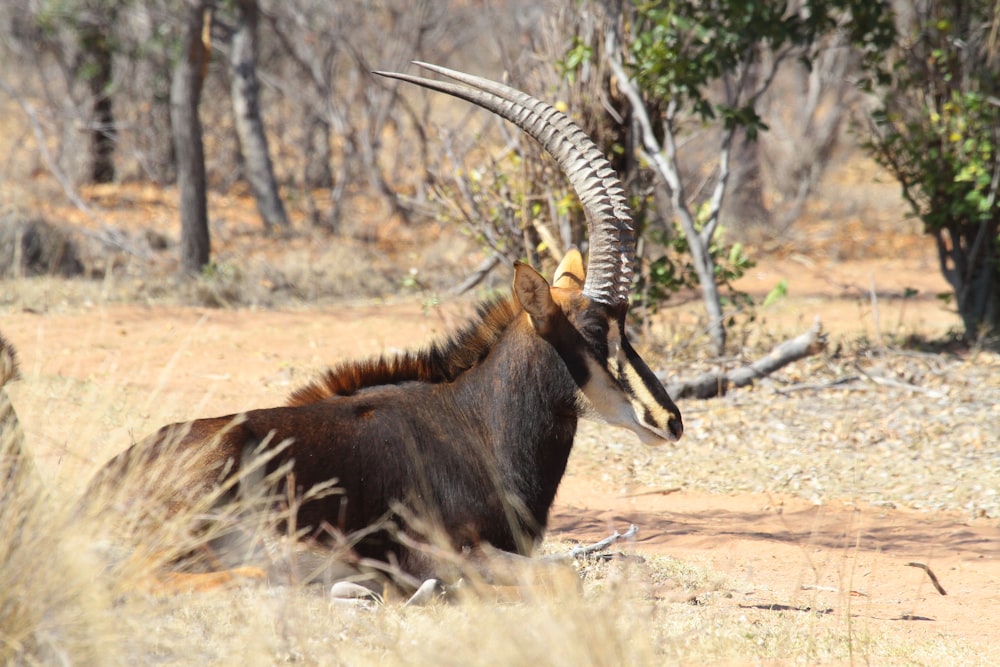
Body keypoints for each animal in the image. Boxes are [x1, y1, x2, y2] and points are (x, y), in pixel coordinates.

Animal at [86, 61, 684, 596]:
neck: (474, 422)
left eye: (625, 324)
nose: (670, 421)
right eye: (592, 329)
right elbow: (563, 577)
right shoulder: (447, 551)